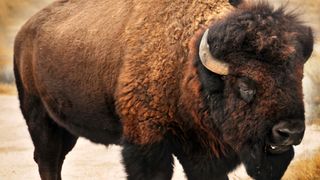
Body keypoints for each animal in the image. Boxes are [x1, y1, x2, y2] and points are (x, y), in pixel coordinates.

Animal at [13, 0, 314, 179]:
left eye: (297, 77)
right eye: (245, 84)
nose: (289, 132)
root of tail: (25, 32)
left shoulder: (203, 152)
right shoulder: (147, 143)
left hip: (64, 127)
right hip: (37, 116)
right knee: (47, 159)